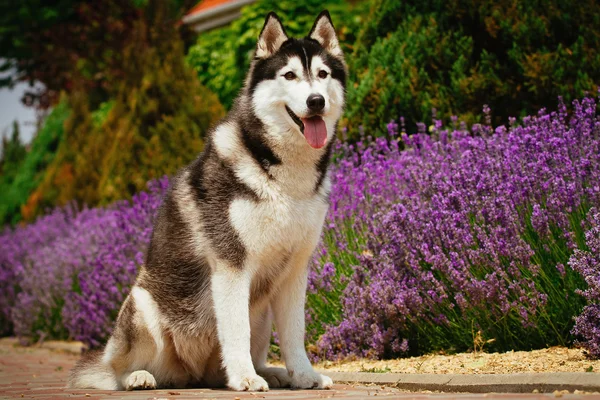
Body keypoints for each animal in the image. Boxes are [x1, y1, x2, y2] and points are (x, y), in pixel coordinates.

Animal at [67, 10, 344, 392]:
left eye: (323, 74)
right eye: (289, 75)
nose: (316, 101)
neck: (280, 174)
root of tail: (191, 374)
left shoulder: (294, 271)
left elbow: (294, 334)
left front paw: (303, 376)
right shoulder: (230, 265)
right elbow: (236, 331)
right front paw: (245, 377)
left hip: (262, 311)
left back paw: (270, 372)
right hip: (142, 304)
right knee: (118, 370)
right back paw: (139, 376)